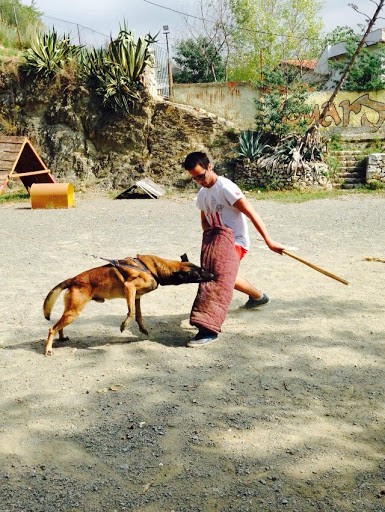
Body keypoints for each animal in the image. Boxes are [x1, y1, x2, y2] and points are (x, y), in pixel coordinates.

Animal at [43, 253, 214, 356]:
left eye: (202, 269)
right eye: (198, 274)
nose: (213, 275)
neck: (152, 268)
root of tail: (73, 279)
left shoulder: (136, 296)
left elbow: (138, 314)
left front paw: (142, 329)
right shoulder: (129, 287)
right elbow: (131, 312)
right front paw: (124, 325)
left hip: (71, 311)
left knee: (59, 325)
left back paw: (62, 337)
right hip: (74, 312)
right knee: (52, 328)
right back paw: (48, 349)